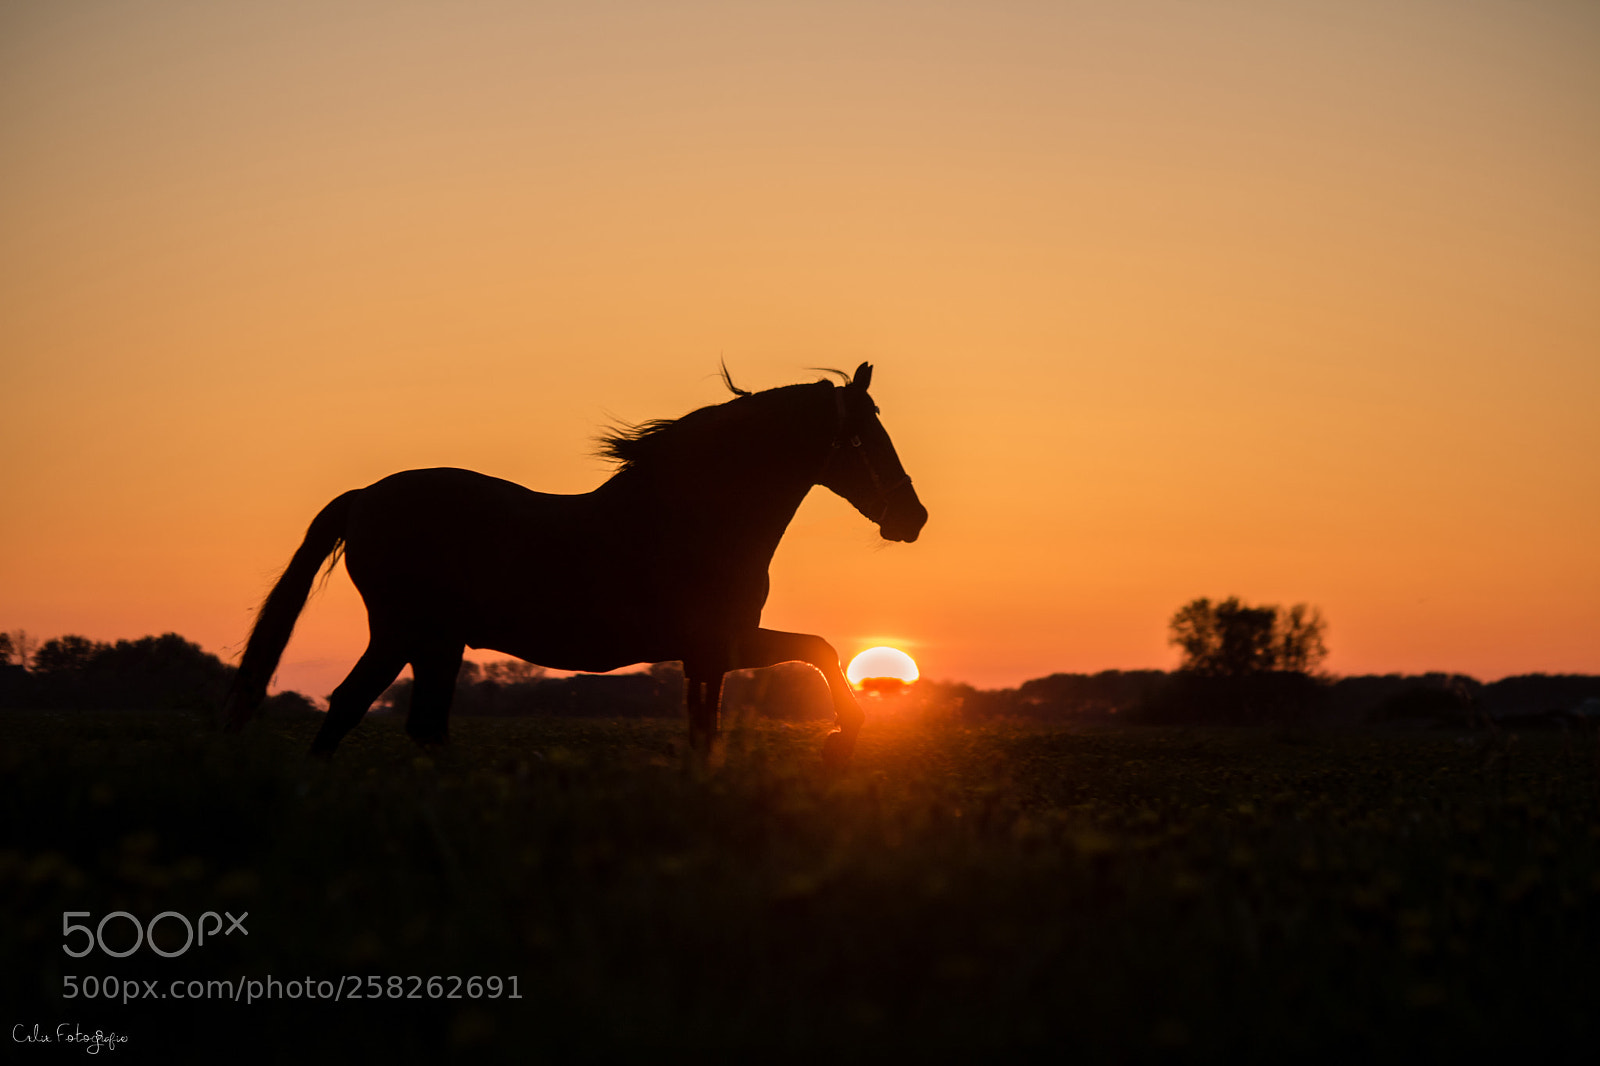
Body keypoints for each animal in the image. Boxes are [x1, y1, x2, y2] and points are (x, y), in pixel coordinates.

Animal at [221, 362, 927, 767]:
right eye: (864, 437)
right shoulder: (722, 643)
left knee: (413, 724)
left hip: (433, 643)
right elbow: (822, 649)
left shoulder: (708, 658)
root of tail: (364, 496)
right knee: (356, 709)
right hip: (408, 633)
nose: (912, 518)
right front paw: (841, 739)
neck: (698, 518)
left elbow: (708, 730)